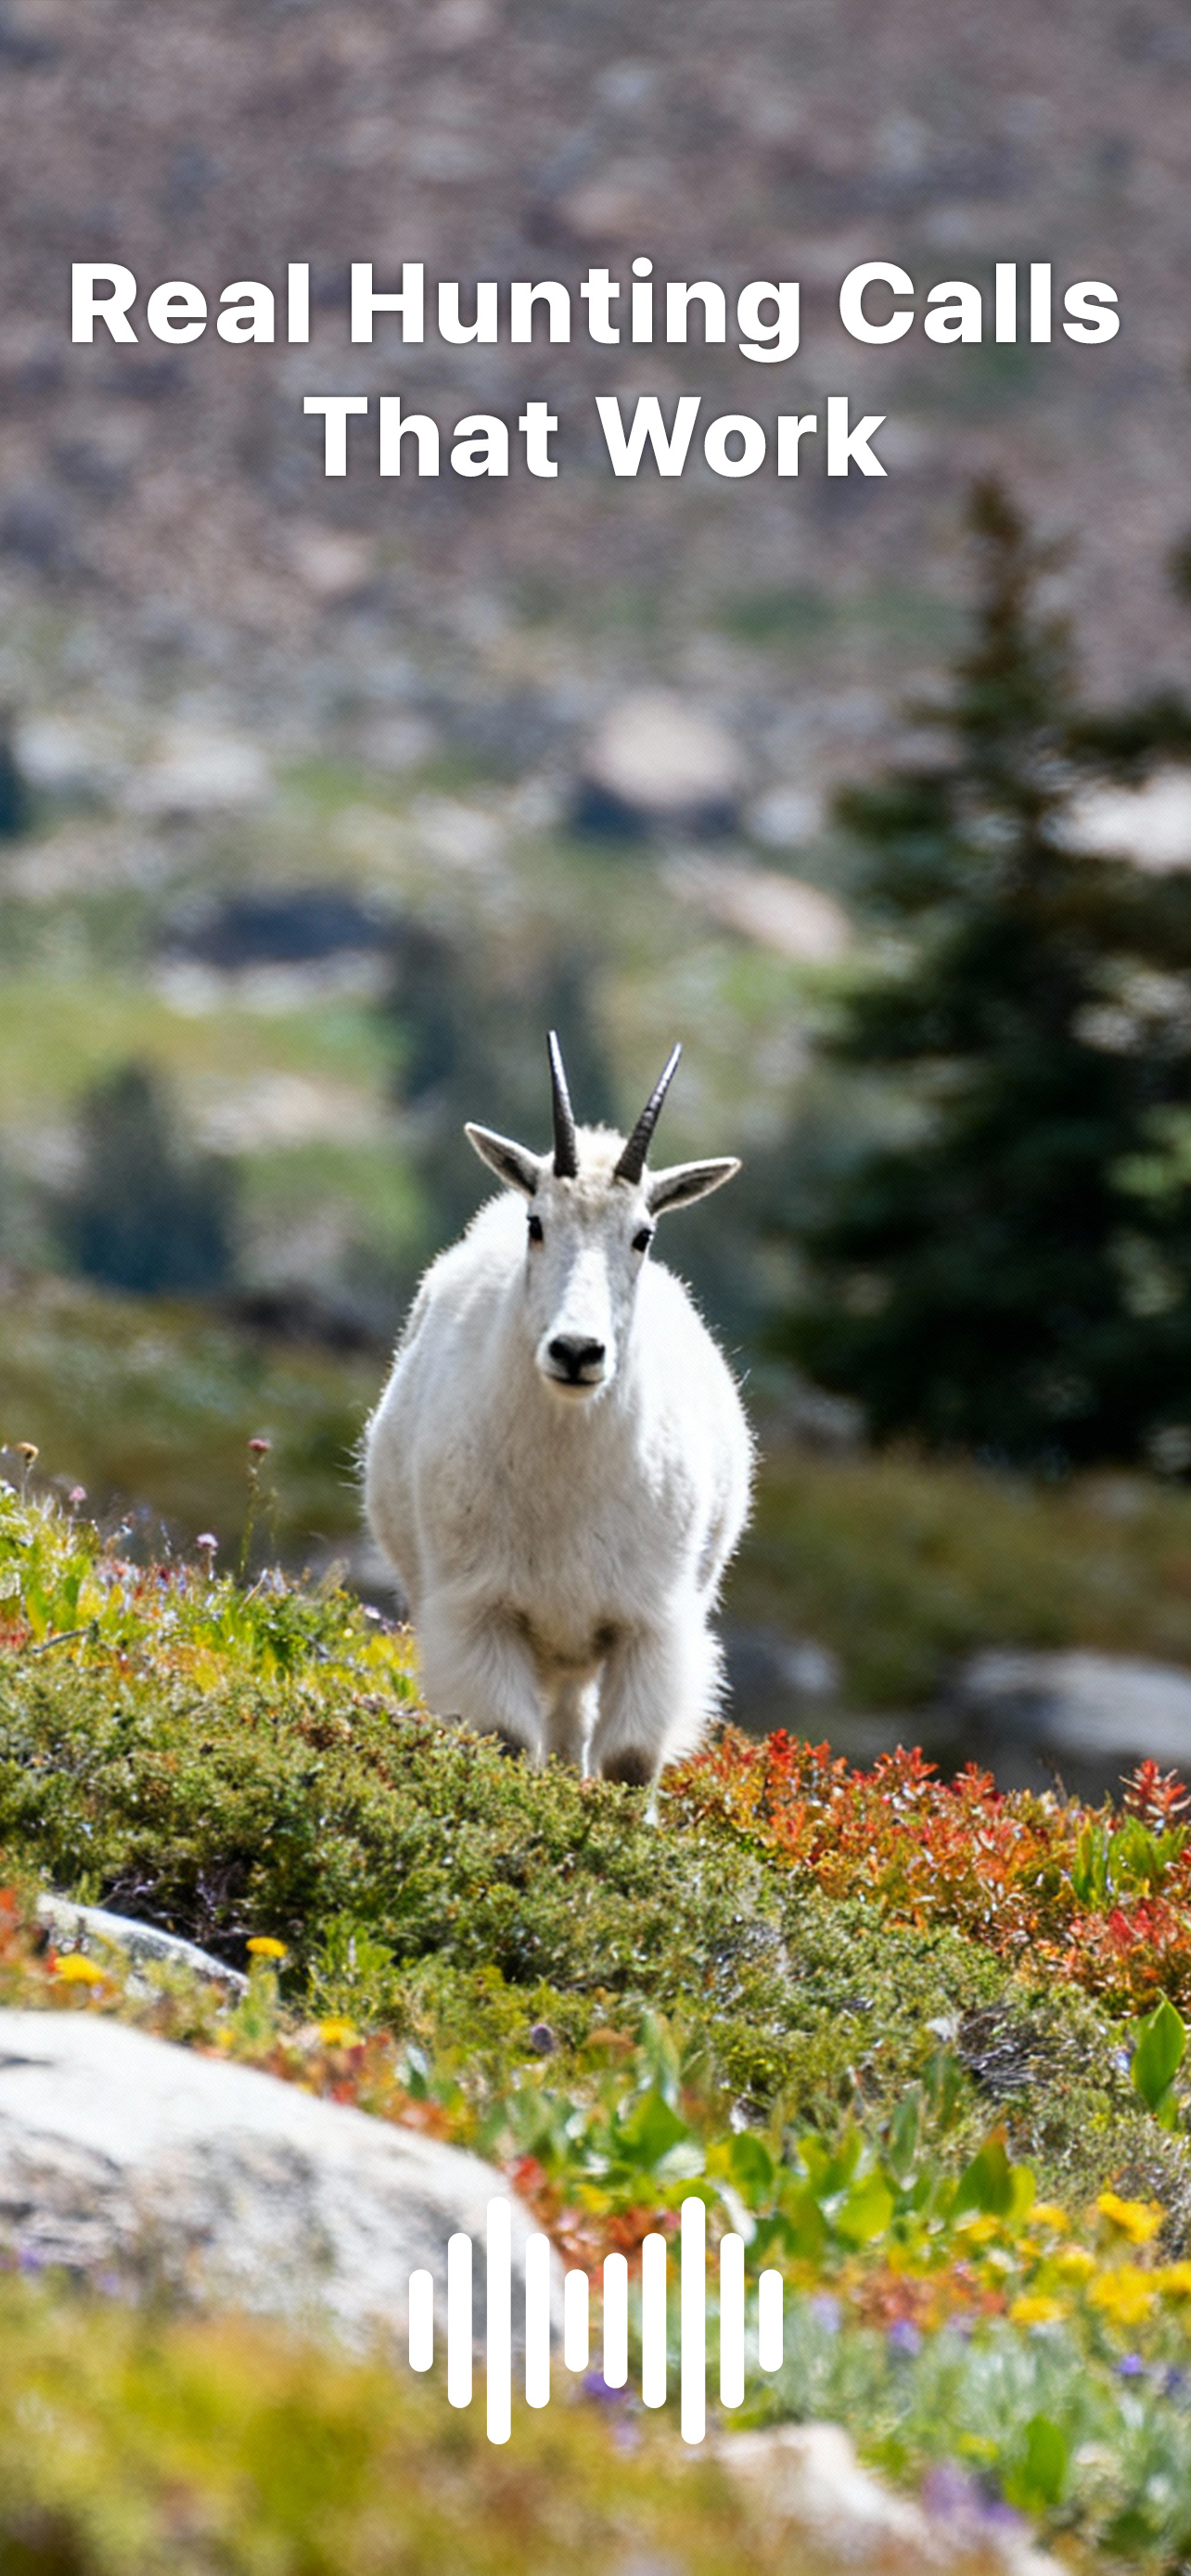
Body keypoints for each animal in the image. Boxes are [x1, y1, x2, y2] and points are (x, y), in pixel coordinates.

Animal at [364, 1034, 753, 1789]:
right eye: (537, 1223)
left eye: (643, 1235)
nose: (577, 1350)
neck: (566, 1467)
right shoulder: (482, 1611)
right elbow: (508, 1738)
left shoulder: (649, 1622)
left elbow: (630, 1762)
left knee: (575, 1723)